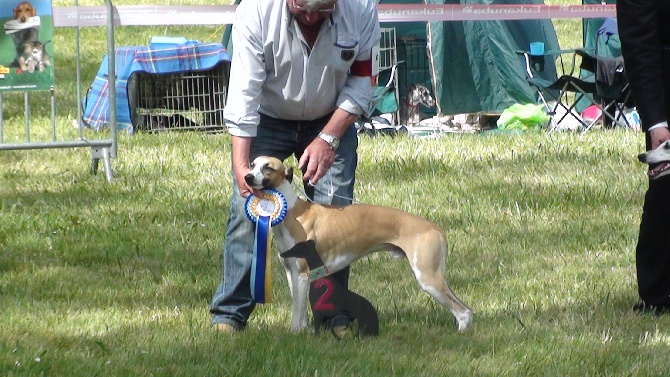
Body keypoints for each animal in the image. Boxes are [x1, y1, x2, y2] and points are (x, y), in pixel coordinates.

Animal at [244, 154, 476, 330]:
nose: (246, 177)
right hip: (435, 275)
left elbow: (297, 314)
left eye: (268, 167)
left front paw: (295, 334)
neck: (292, 212)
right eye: (252, 164)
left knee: (463, 312)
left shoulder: (302, 274)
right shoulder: (292, 273)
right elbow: (298, 310)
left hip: (428, 277)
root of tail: (436, 228)